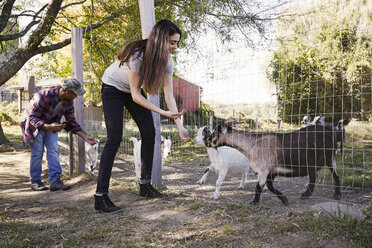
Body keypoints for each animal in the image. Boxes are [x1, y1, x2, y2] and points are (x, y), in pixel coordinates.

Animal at [209, 124, 340, 205]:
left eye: (214, 134)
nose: (206, 141)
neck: (252, 144)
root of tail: (328, 131)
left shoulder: (263, 170)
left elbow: (259, 187)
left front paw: (254, 202)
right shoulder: (271, 172)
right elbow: (270, 187)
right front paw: (284, 199)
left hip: (330, 157)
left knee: (335, 175)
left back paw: (336, 194)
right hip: (314, 163)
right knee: (314, 178)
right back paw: (306, 194)